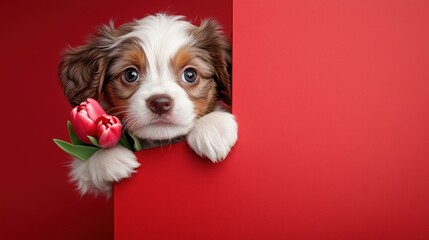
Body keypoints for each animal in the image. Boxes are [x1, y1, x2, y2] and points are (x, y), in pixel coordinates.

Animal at [58, 13, 237, 195]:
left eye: (190, 74)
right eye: (130, 74)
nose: (160, 103)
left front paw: (213, 128)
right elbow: (82, 165)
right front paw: (109, 158)